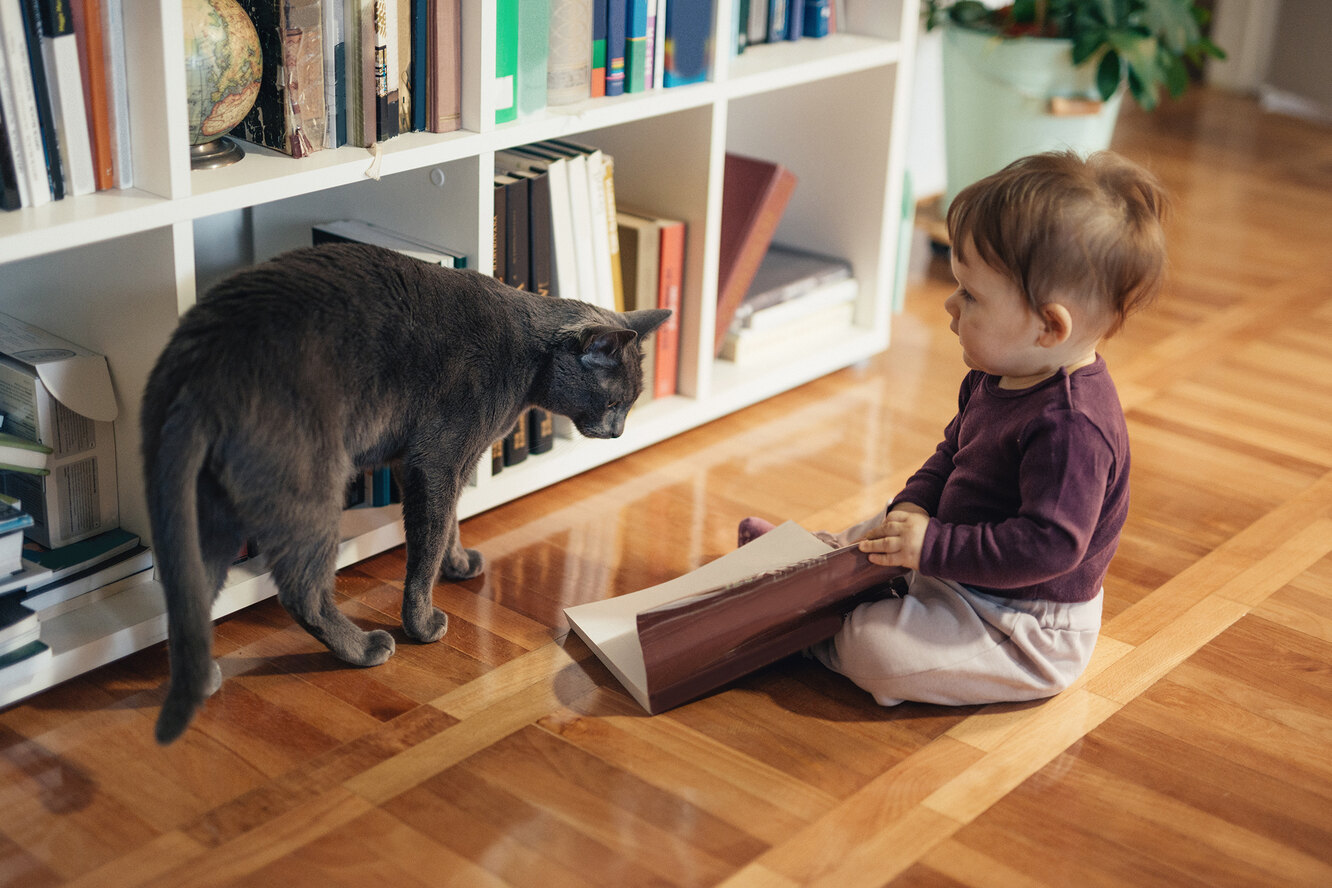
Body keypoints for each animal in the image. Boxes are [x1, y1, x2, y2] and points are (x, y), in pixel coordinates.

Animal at [140, 240, 671, 745]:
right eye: (615, 402)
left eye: (631, 404)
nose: (620, 432)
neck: (529, 360)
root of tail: (201, 367)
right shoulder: (437, 459)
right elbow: (427, 544)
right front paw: (423, 622)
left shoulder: (432, 461)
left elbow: (450, 522)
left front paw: (458, 565)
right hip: (312, 489)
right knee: (302, 591)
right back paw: (363, 649)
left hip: (208, 509)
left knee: (191, 588)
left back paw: (203, 675)